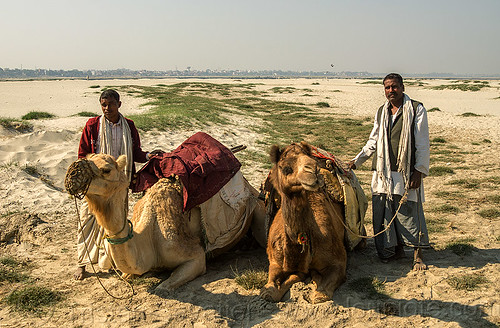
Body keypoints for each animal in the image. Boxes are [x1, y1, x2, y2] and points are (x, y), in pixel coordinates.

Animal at [65, 152, 266, 290]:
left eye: (106, 170)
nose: (71, 173)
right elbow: (126, 275)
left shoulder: (195, 256)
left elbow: (164, 286)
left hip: (258, 209)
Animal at [260, 142, 346, 304]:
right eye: (285, 168)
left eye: (309, 158)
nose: (313, 170)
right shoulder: (275, 260)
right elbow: (271, 286)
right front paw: (270, 291)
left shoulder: (338, 261)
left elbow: (323, 291)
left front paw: (318, 290)